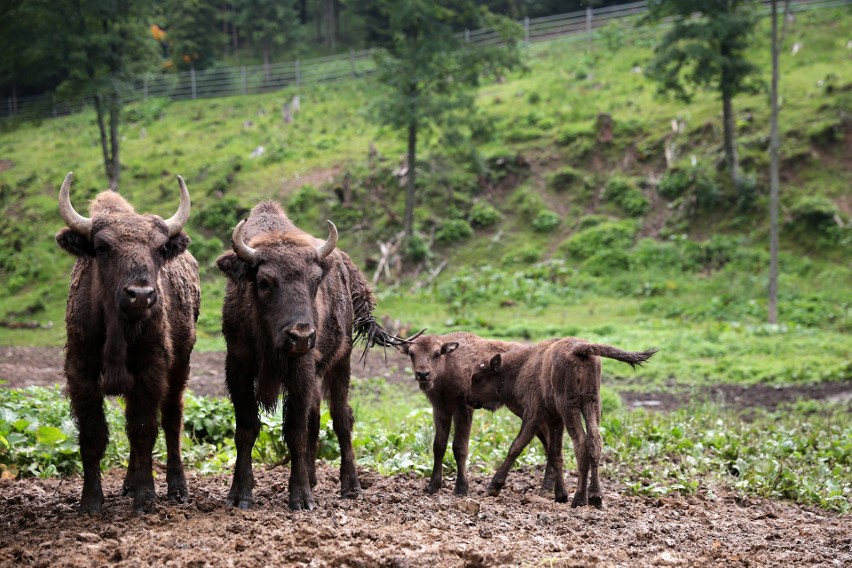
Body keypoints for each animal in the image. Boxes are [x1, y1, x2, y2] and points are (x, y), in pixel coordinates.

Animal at [55, 173, 201, 516]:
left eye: (159, 248)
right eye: (102, 247)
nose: (141, 295)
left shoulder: (152, 372)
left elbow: (144, 429)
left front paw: (145, 499)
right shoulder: (81, 375)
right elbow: (93, 435)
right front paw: (90, 503)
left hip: (180, 369)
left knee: (172, 420)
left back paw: (177, 489)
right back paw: (128, 484)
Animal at [213, 202, 400, 512]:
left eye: (314, 281)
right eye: (264, 282)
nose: (301, 336)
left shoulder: (301, 369)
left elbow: (295, 430)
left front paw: (300, 498)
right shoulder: (237, 367)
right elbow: (247, 429)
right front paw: (240, 495)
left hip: (341, 363)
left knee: (341, 418)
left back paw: (351, 487)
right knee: (315, 418)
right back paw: (312, 479)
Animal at [400, 332, 560, 496]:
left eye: (437, 353)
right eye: (411, 353)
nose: (423, 374)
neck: (449, 363)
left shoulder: (463, 410)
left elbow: (459, 447)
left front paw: (461, 489)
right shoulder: (440, 411)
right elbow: (439, 446)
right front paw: (433, 486)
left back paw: (546, 486)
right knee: (547, 439)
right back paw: (548, 485)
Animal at [466, 340, 660, 508]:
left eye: (478, 378)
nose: (469, 400)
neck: (520, 367)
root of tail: (580, 348)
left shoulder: (534, 415)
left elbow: (517, 446)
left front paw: (494, 487)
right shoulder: (554, 420)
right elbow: (555, 454)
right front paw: (561, 494)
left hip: (570, 407)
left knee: (581, 443)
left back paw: (579, 499)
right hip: (591, 403)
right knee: (594, 442)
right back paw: (595, 497)